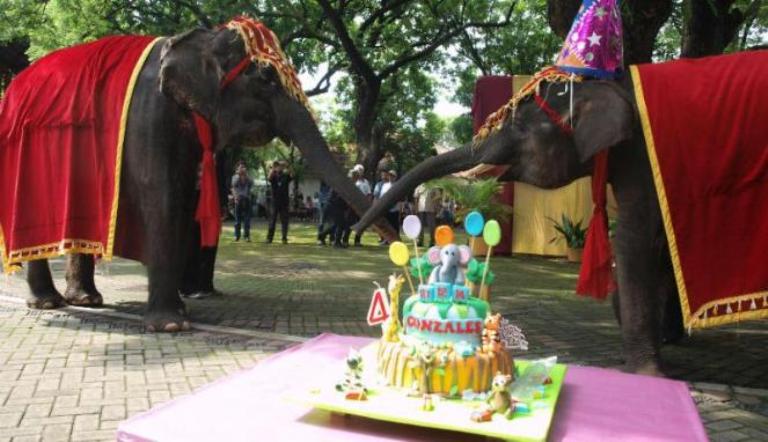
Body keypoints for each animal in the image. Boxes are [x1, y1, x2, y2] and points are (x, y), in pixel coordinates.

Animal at [20, 23, 393, 331]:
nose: (386, 235)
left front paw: (181, 312)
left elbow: (186, 198)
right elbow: (161, 195)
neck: (197, 38)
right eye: (266, 77)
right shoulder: (148, 116)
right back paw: (48, 302)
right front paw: (171, 325)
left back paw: (86, 300)